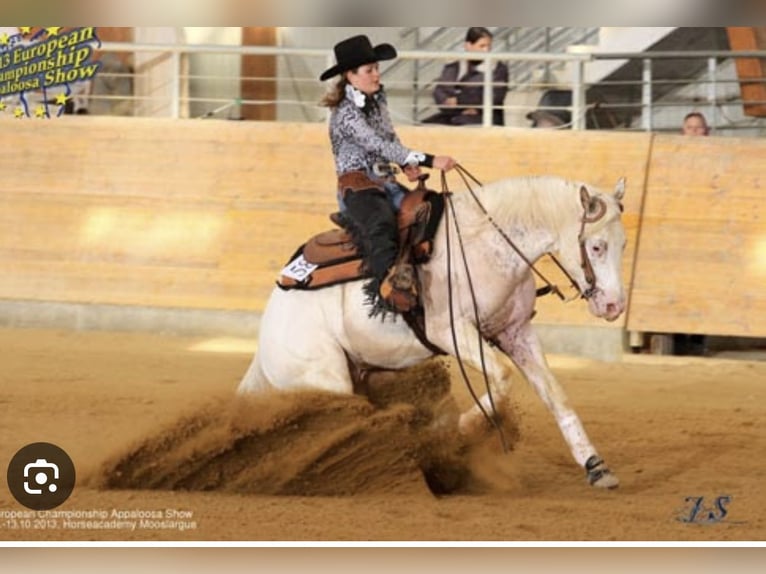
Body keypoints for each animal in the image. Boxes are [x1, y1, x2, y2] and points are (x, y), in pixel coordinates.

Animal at [240, 176, 632, 490]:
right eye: (596, 246)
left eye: (624, 244)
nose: (614, 306)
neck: (486, 244)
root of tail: (269, 325)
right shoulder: (452, 331)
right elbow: (501, 376)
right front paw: (459, 430)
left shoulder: (516, 332)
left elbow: (555, 395)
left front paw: (596, 466)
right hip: (324, 376)